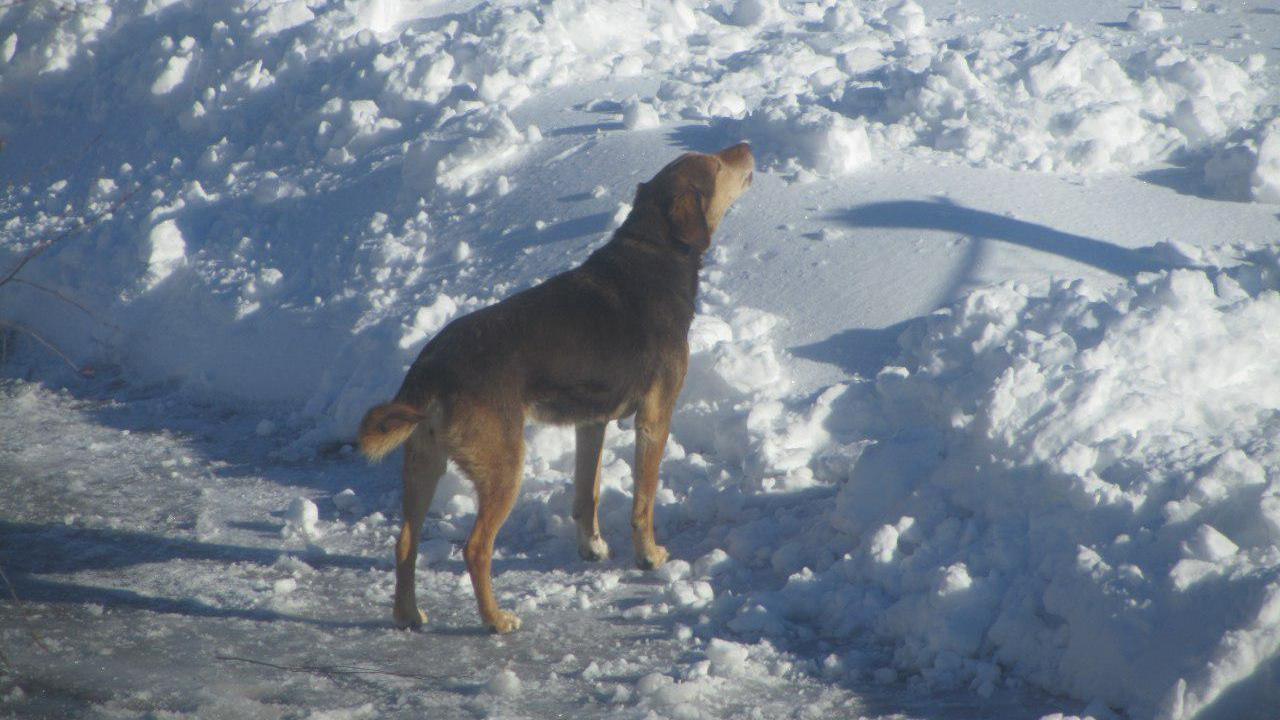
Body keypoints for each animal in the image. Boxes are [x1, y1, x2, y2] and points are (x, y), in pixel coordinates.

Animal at [355, 140, 752, 627]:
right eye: (716, 165)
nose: (746, 146)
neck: (654, 249)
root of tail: (432, 368)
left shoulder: (591, 422)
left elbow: (587, 493)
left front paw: (592, 548)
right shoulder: (655, 416)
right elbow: (643, 498)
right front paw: (649, 556)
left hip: (423, 462)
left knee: (404, 543)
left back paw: (410, 613)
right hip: (503, 467)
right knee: (475, 549)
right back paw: (496, 620)